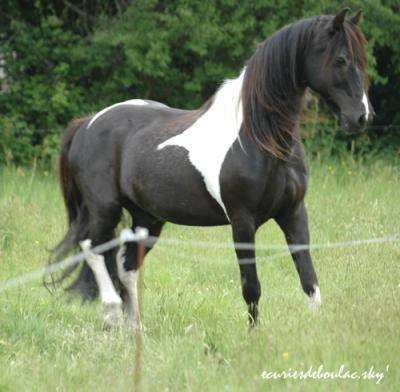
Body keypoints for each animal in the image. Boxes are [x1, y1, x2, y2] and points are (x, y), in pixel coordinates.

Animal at [50, 8, 372, 328]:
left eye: (362, 60)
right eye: (341, 59)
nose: (361, 117)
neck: (259, 137)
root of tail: (87, 123)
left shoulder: (293, 214)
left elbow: (310, 281)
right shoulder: (242, 221)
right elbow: (251, 286)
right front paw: (254, 335)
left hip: (148, 218)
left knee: (126, 266)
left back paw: (135, 328)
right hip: (105, 210)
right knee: (92, 249)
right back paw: (112, 313)